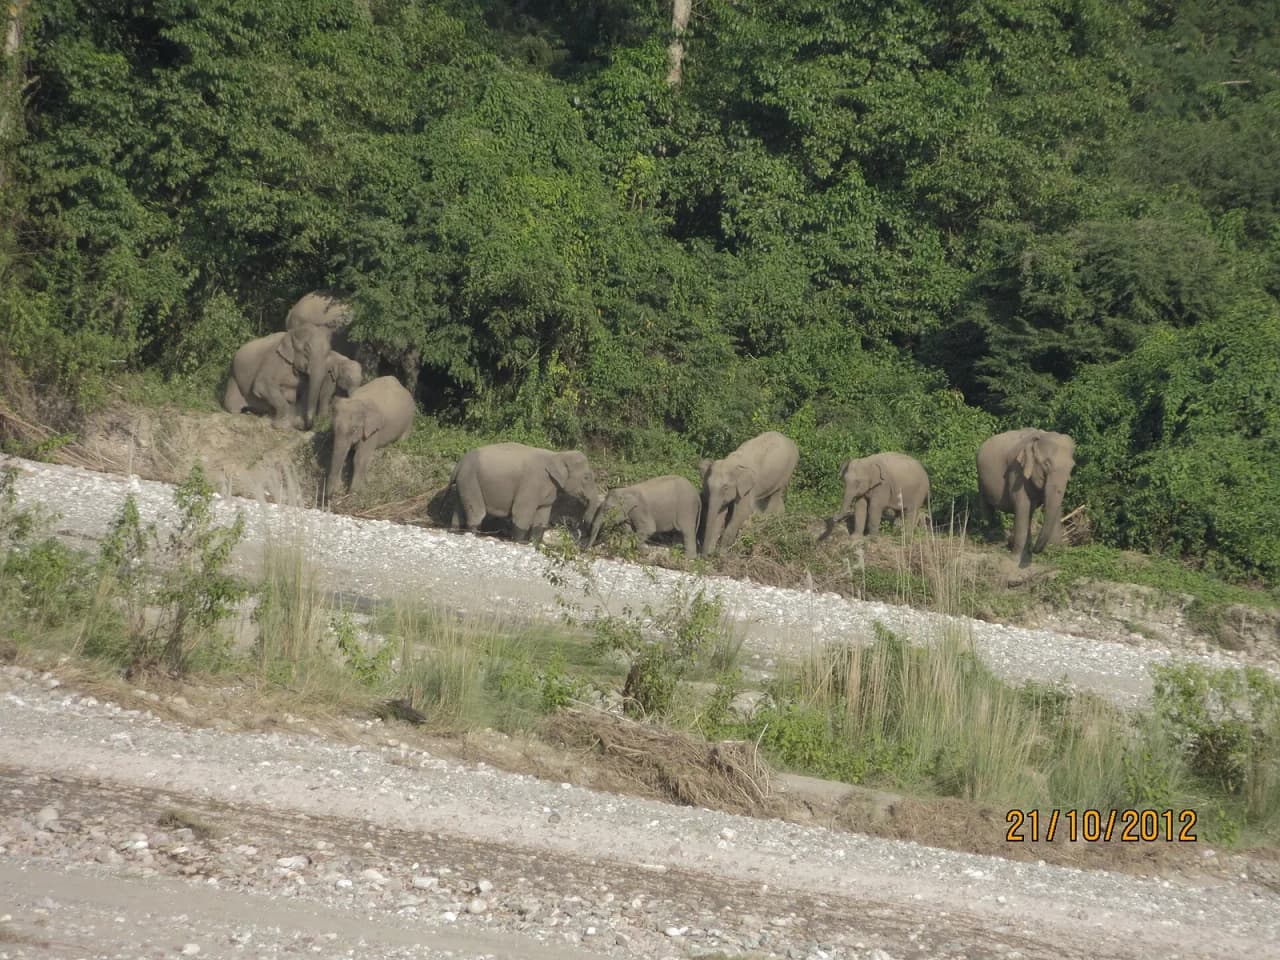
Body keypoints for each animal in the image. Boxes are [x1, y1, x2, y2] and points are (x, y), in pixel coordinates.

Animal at [449, 443, 603, 544]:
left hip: (464, 482)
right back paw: (474, 534)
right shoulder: (531, 484)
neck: (557, 455)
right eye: (586, 477)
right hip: (470, 479)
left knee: (458, 508)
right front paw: (519, 542)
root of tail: (459, 464)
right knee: (477, 512)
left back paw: (455, 531)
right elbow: (521, 512)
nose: (577, 525)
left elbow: (543, 514)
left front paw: (534, 543)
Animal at [976, 428, 1077, 565]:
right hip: (981, 479)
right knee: (986, 507)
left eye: (1072, 467)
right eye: (1047, 464)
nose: (1035, 550)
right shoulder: (1017, 471)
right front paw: (1016, 559)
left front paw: (1055, 554)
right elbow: (1023, 506)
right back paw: (989, 540)